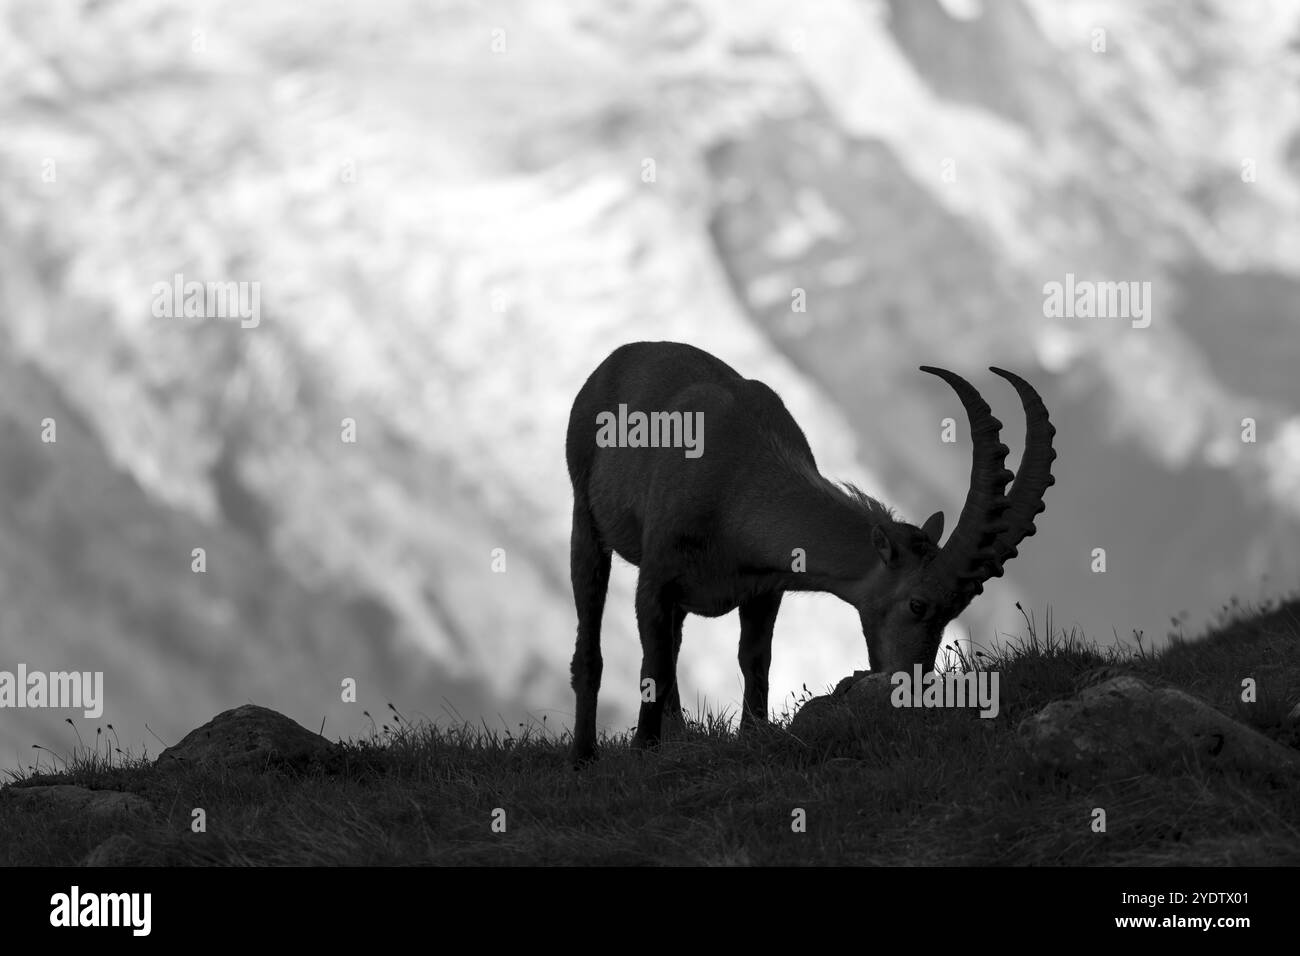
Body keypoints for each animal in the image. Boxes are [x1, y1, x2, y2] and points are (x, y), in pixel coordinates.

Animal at [565, 341, 1054, 764]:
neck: (736, 487)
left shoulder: (762, 590)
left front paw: (753, 735)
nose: (913, 690)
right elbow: (656, 670)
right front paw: (642, 751)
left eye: (956, 609)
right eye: (918, 604)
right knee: (592, 644)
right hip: (586, 520)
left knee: (676, 644)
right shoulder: (656, 580)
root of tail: (618, 357)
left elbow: (755, 662)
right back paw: (584, 756)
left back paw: (680, 738)